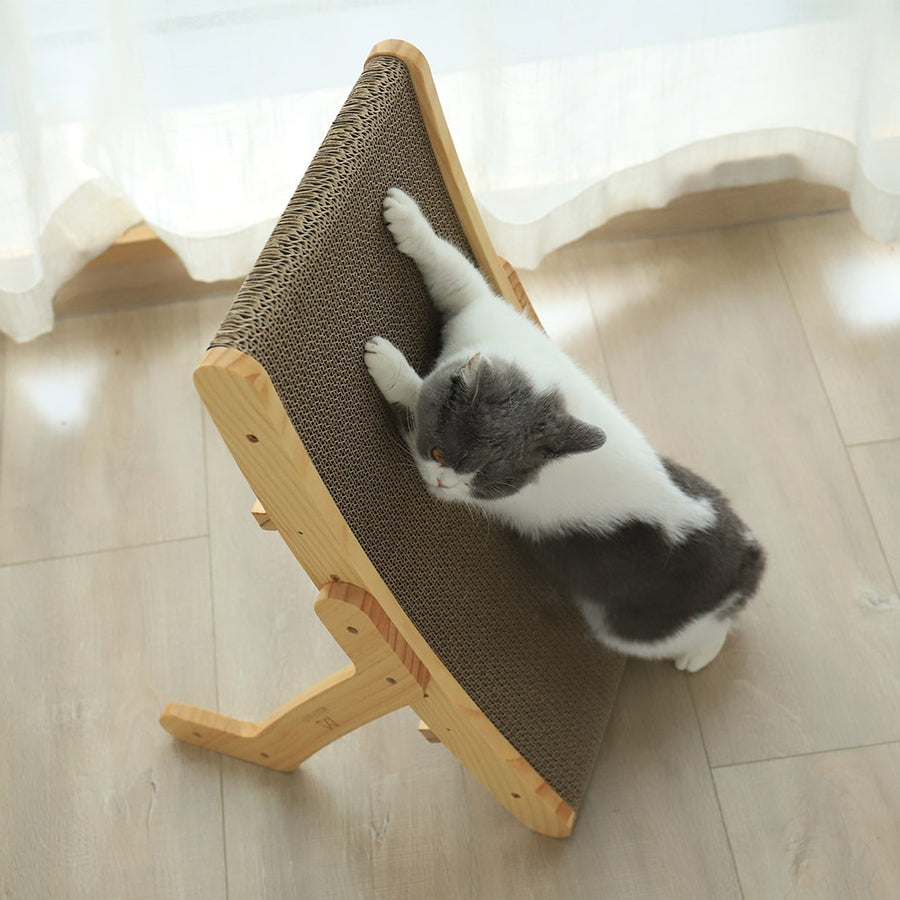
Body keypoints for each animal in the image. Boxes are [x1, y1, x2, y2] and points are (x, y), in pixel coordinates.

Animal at [366, 186, 768, 672]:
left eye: (485, 486)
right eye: (443, 455)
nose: (443, 485)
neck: (540, 388)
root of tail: (748, 556)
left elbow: (411, 400)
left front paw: (388, 363)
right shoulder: (482, 315)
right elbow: (455, 271)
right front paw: (406, 216)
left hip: (636, 627)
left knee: (707, 629)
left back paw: (700, 654)